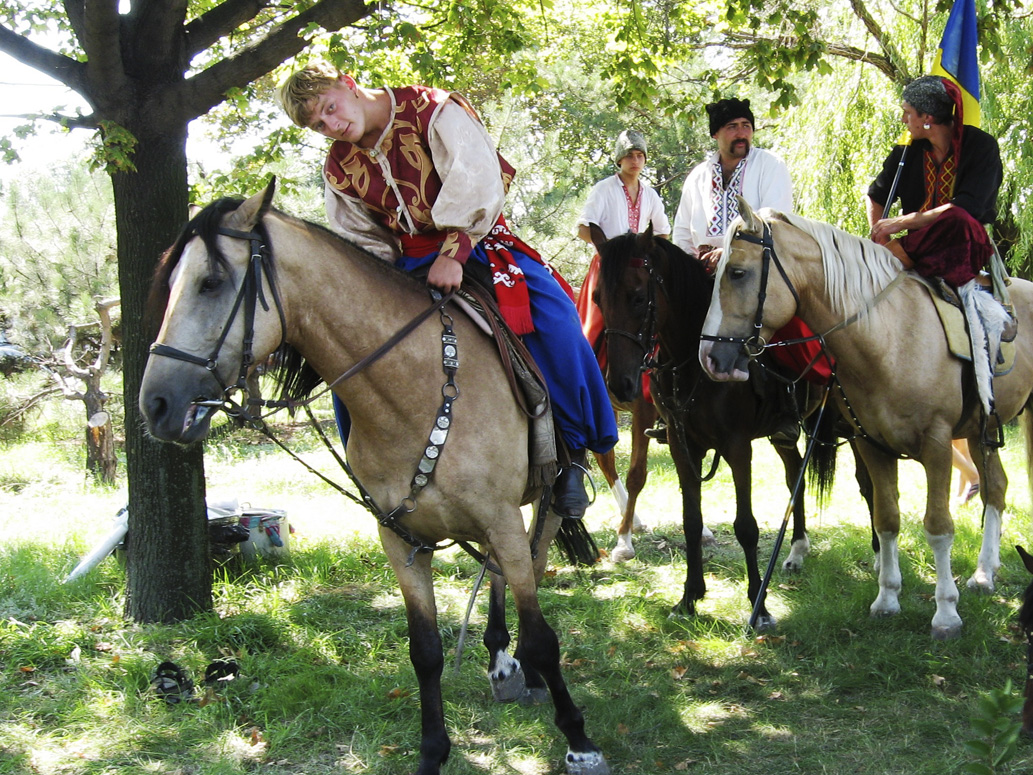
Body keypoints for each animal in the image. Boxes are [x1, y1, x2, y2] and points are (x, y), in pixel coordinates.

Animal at [134, 181, 607, 775]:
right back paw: (502, 659)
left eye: (212, 282)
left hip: (545, 499)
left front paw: (580, 741)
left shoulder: (500, 517)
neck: (415, 388)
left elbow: (544, 635)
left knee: (533, 561)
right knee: (500, 570)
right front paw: (433, 752)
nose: (156, 404)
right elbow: (424, 652)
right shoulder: (399, 539)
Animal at [590, 224, 822, 632]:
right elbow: (691, 521)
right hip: (781, 435)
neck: (691, 362)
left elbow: (745, 526)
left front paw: (758, 605)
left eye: (638, 297)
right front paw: (689, 597)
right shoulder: (683, 446)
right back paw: (796, 549)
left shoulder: (737, 446)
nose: (619, 385)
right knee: (795, 471)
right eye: (598, 299)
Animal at [694, 200, 1033, 644]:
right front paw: (887, 599)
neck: (892, 337)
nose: (710, 359)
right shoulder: (871, 444)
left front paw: (945, 613)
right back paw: (984, 572)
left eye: (737, 272)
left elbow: (938, 526)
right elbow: (886, 517)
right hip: (983, 430)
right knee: (997, 487)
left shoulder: (937, 446)